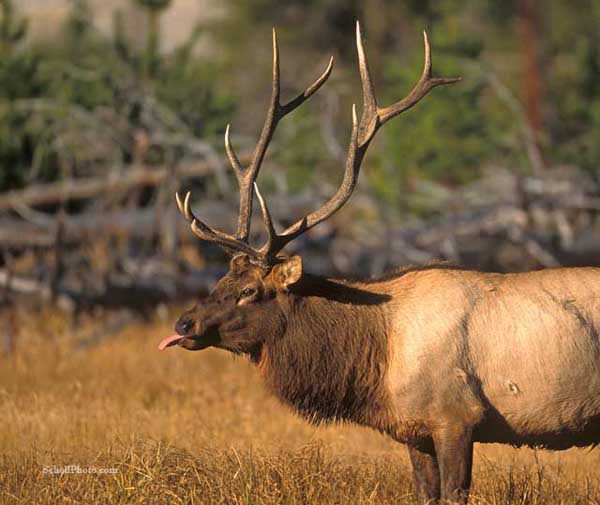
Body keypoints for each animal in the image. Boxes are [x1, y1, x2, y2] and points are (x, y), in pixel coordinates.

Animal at [158, 23, 600, 504]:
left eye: (249, 290)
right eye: (223, 276)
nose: (183, 322)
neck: (377, 359)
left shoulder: (457, 416)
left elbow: (453, 493)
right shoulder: (414, 431)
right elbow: (426, 493)